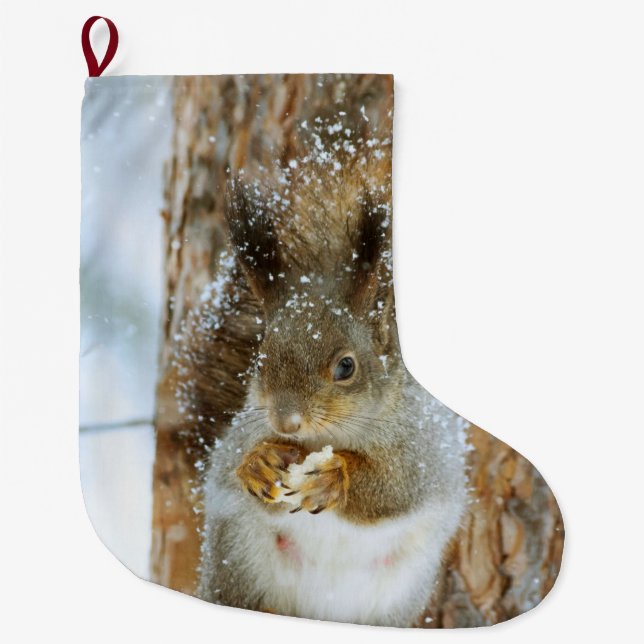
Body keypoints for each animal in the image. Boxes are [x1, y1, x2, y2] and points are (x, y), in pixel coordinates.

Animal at [195, 138, 469, 627]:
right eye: (260, 360)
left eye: (346, 367)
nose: (285, 422)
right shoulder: (241, 430)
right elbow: (228, 464)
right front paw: (258, 463)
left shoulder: (423, 451)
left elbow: (395, 487)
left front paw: (334, 477)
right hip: (237, 553)